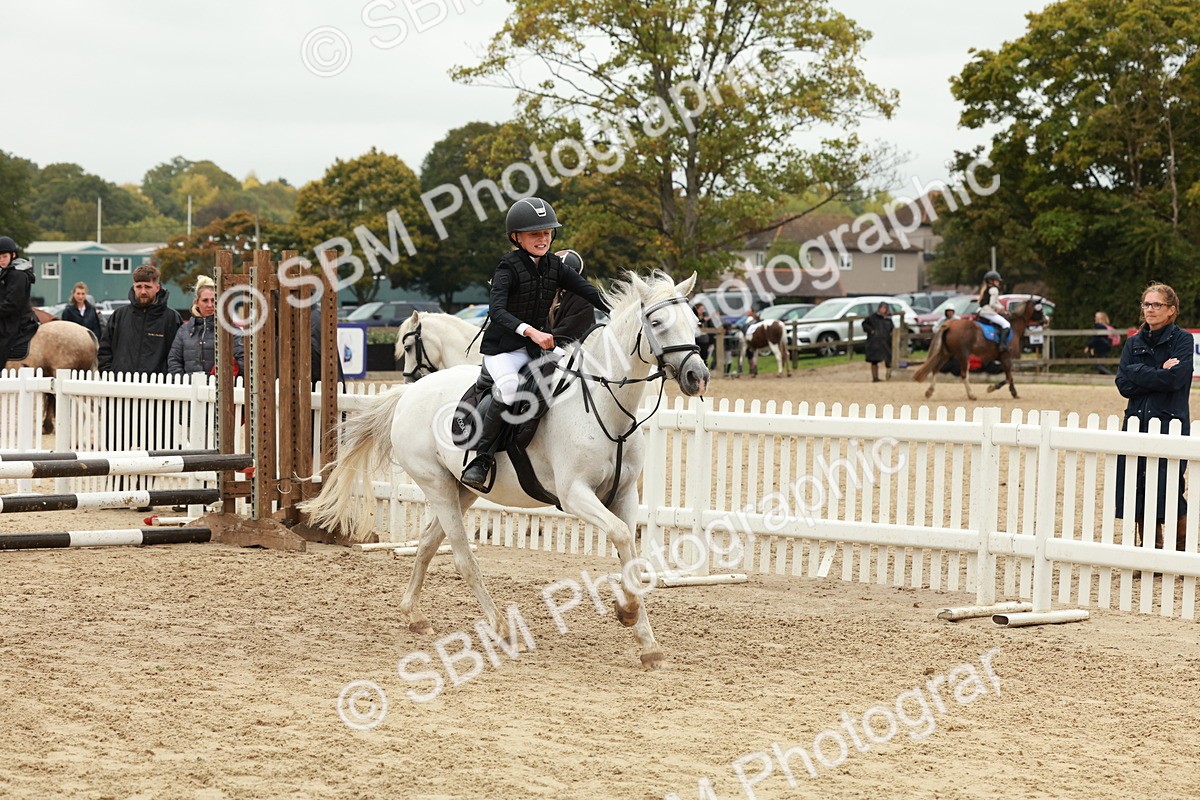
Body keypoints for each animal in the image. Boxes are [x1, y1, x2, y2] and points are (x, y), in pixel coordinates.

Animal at [302, 272, 709, 668]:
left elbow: (630, 552)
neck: (603, 405)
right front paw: (626, 612)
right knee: (463, 557)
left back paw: (414, 615)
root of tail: (410, 394)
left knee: (429, 544)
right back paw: (499, 627)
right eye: (656, 322)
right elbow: (622, 536)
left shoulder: (624, 496)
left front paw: (648, 644)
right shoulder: (575, 495)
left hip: (462, 489)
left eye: (694, 323)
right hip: (436, 485)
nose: (697, 377)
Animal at [913, 298, 1045, 400]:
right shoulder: (1006, 357)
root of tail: (950, 324)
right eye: (1040, 309)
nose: (1046, 320)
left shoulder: (1002, 359)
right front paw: (999, 389)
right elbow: (1009, 377)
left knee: (936, 369)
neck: (1013, 327)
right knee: (963, 374)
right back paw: (971, 395)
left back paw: (929, 392)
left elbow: (1009, 376)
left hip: (946, 353)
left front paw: (1005, 390)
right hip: (963, 354)